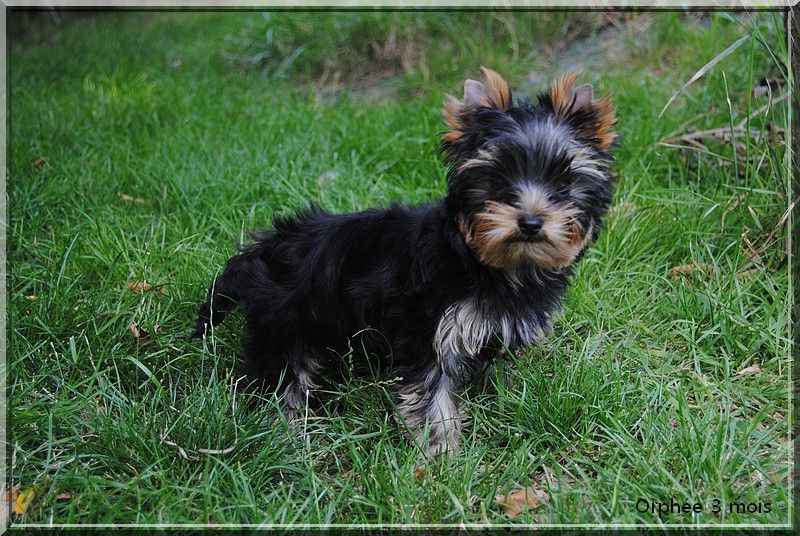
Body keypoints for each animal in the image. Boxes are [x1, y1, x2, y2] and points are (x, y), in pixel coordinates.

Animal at [194, 65, 620, 454]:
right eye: (498, 181)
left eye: (562, 183)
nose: (531, 222)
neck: (492, 263)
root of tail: (267, 244)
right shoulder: (426, 328)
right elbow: (433, 393)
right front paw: (442, 454)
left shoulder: (491, 330)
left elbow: (490, 370)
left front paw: (502, 404)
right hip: (283, 320)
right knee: (280, 378)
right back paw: (283, 436)